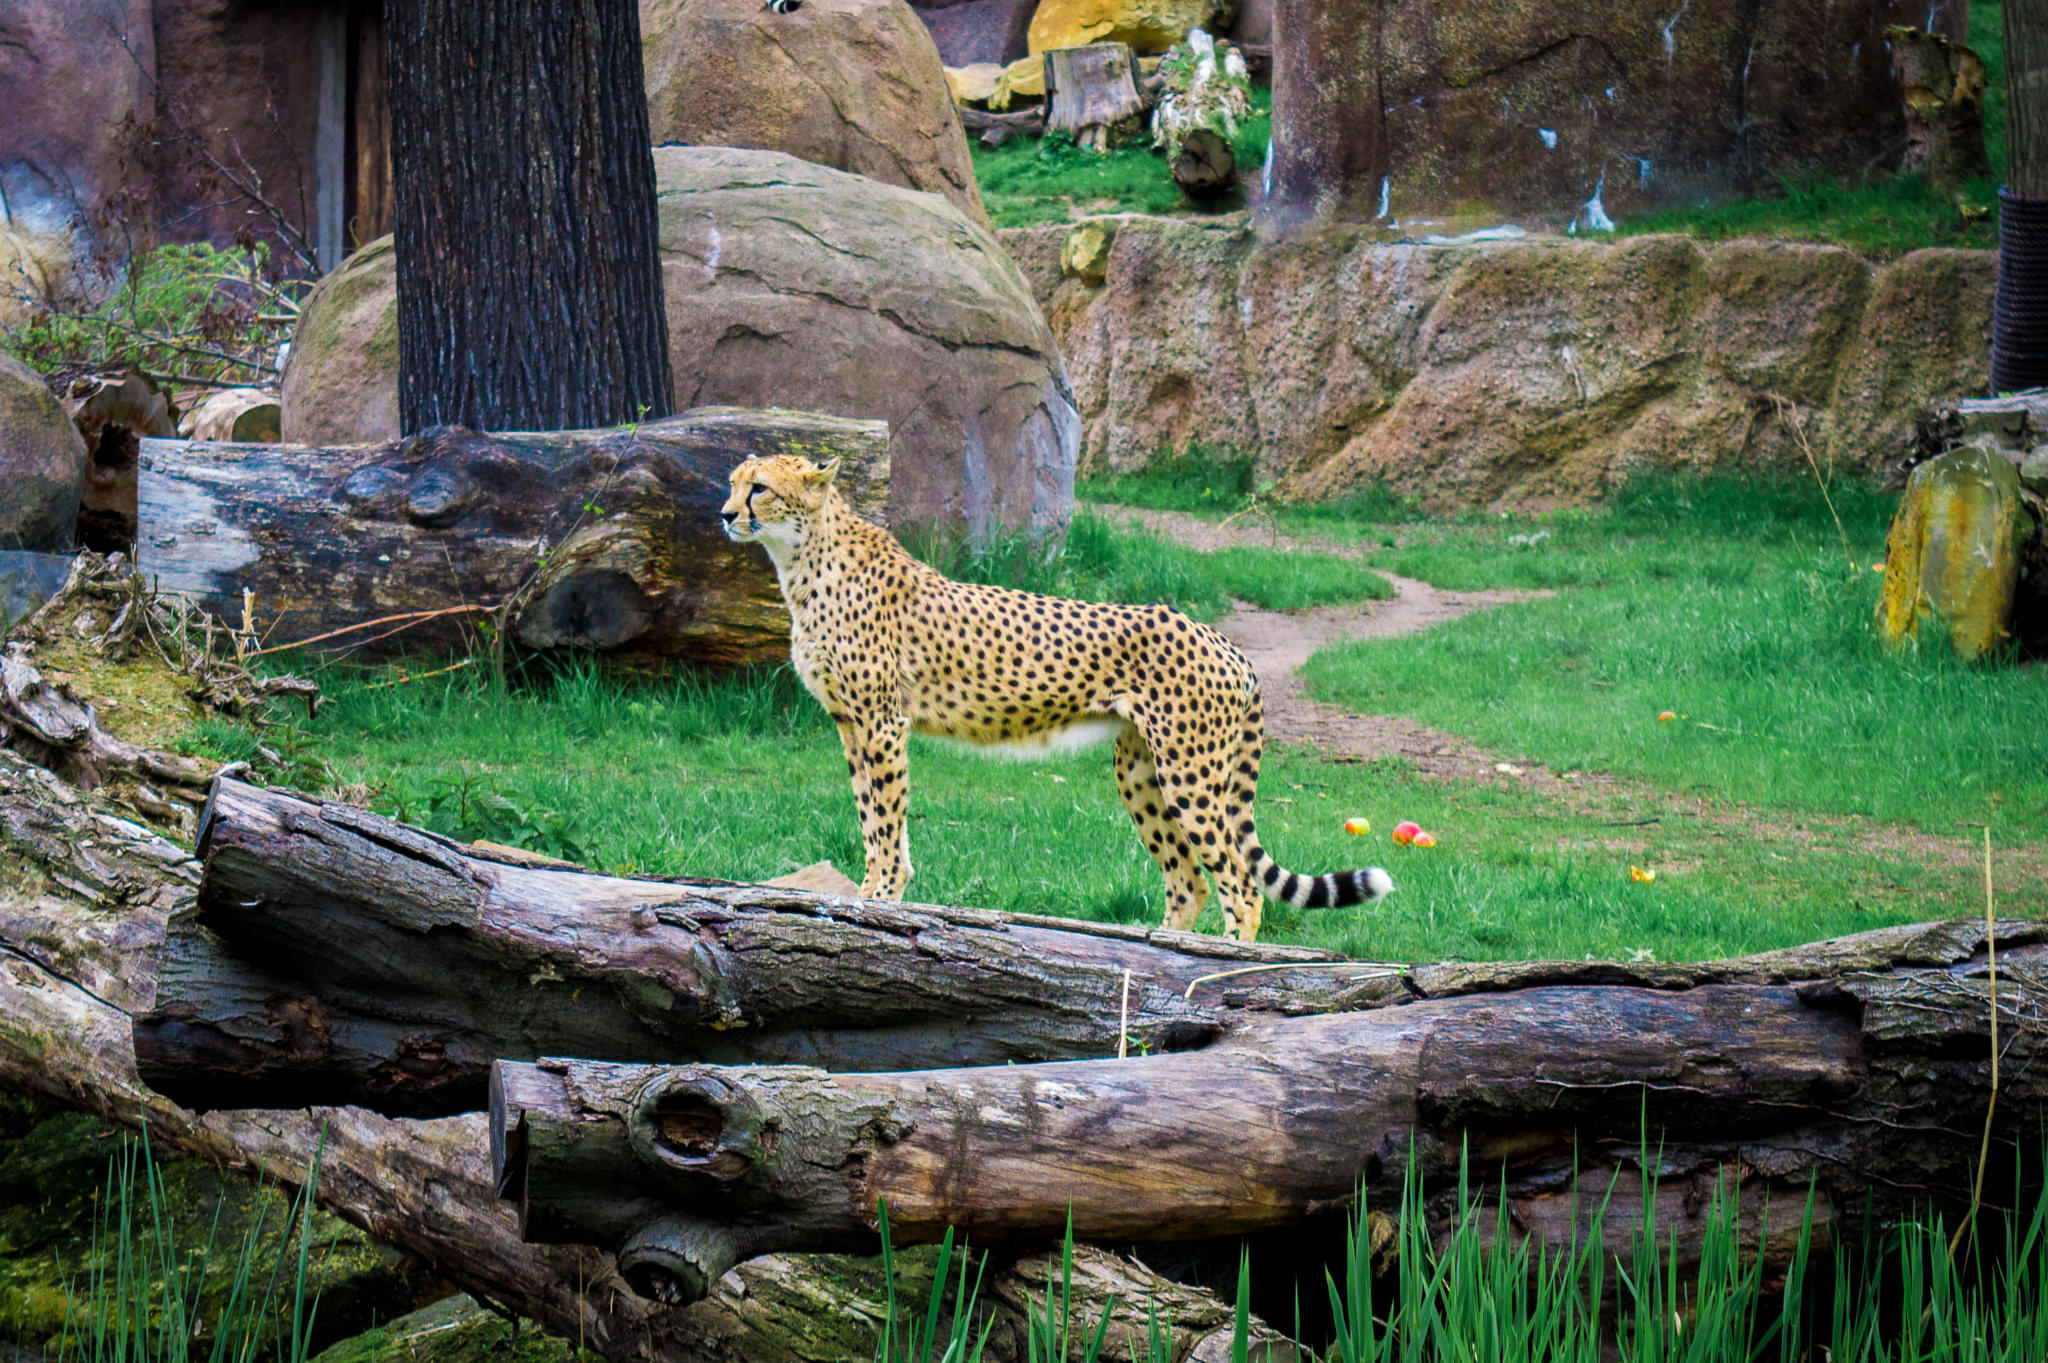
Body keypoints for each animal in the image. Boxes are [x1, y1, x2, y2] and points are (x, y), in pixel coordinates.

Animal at [720, 454, 1392, 933]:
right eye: (731, 483)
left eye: (759, 488)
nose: (725, 514)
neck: (803, 558)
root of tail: (1224, 640)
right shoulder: (851, 722)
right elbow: (872, 817)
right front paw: (873, 894)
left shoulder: (881, 722)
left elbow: (884, 820)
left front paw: (880, 899)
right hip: (1140, 771)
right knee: (1189, 881)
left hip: (1189, 772)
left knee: (1241, 885)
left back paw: (1218, 961)